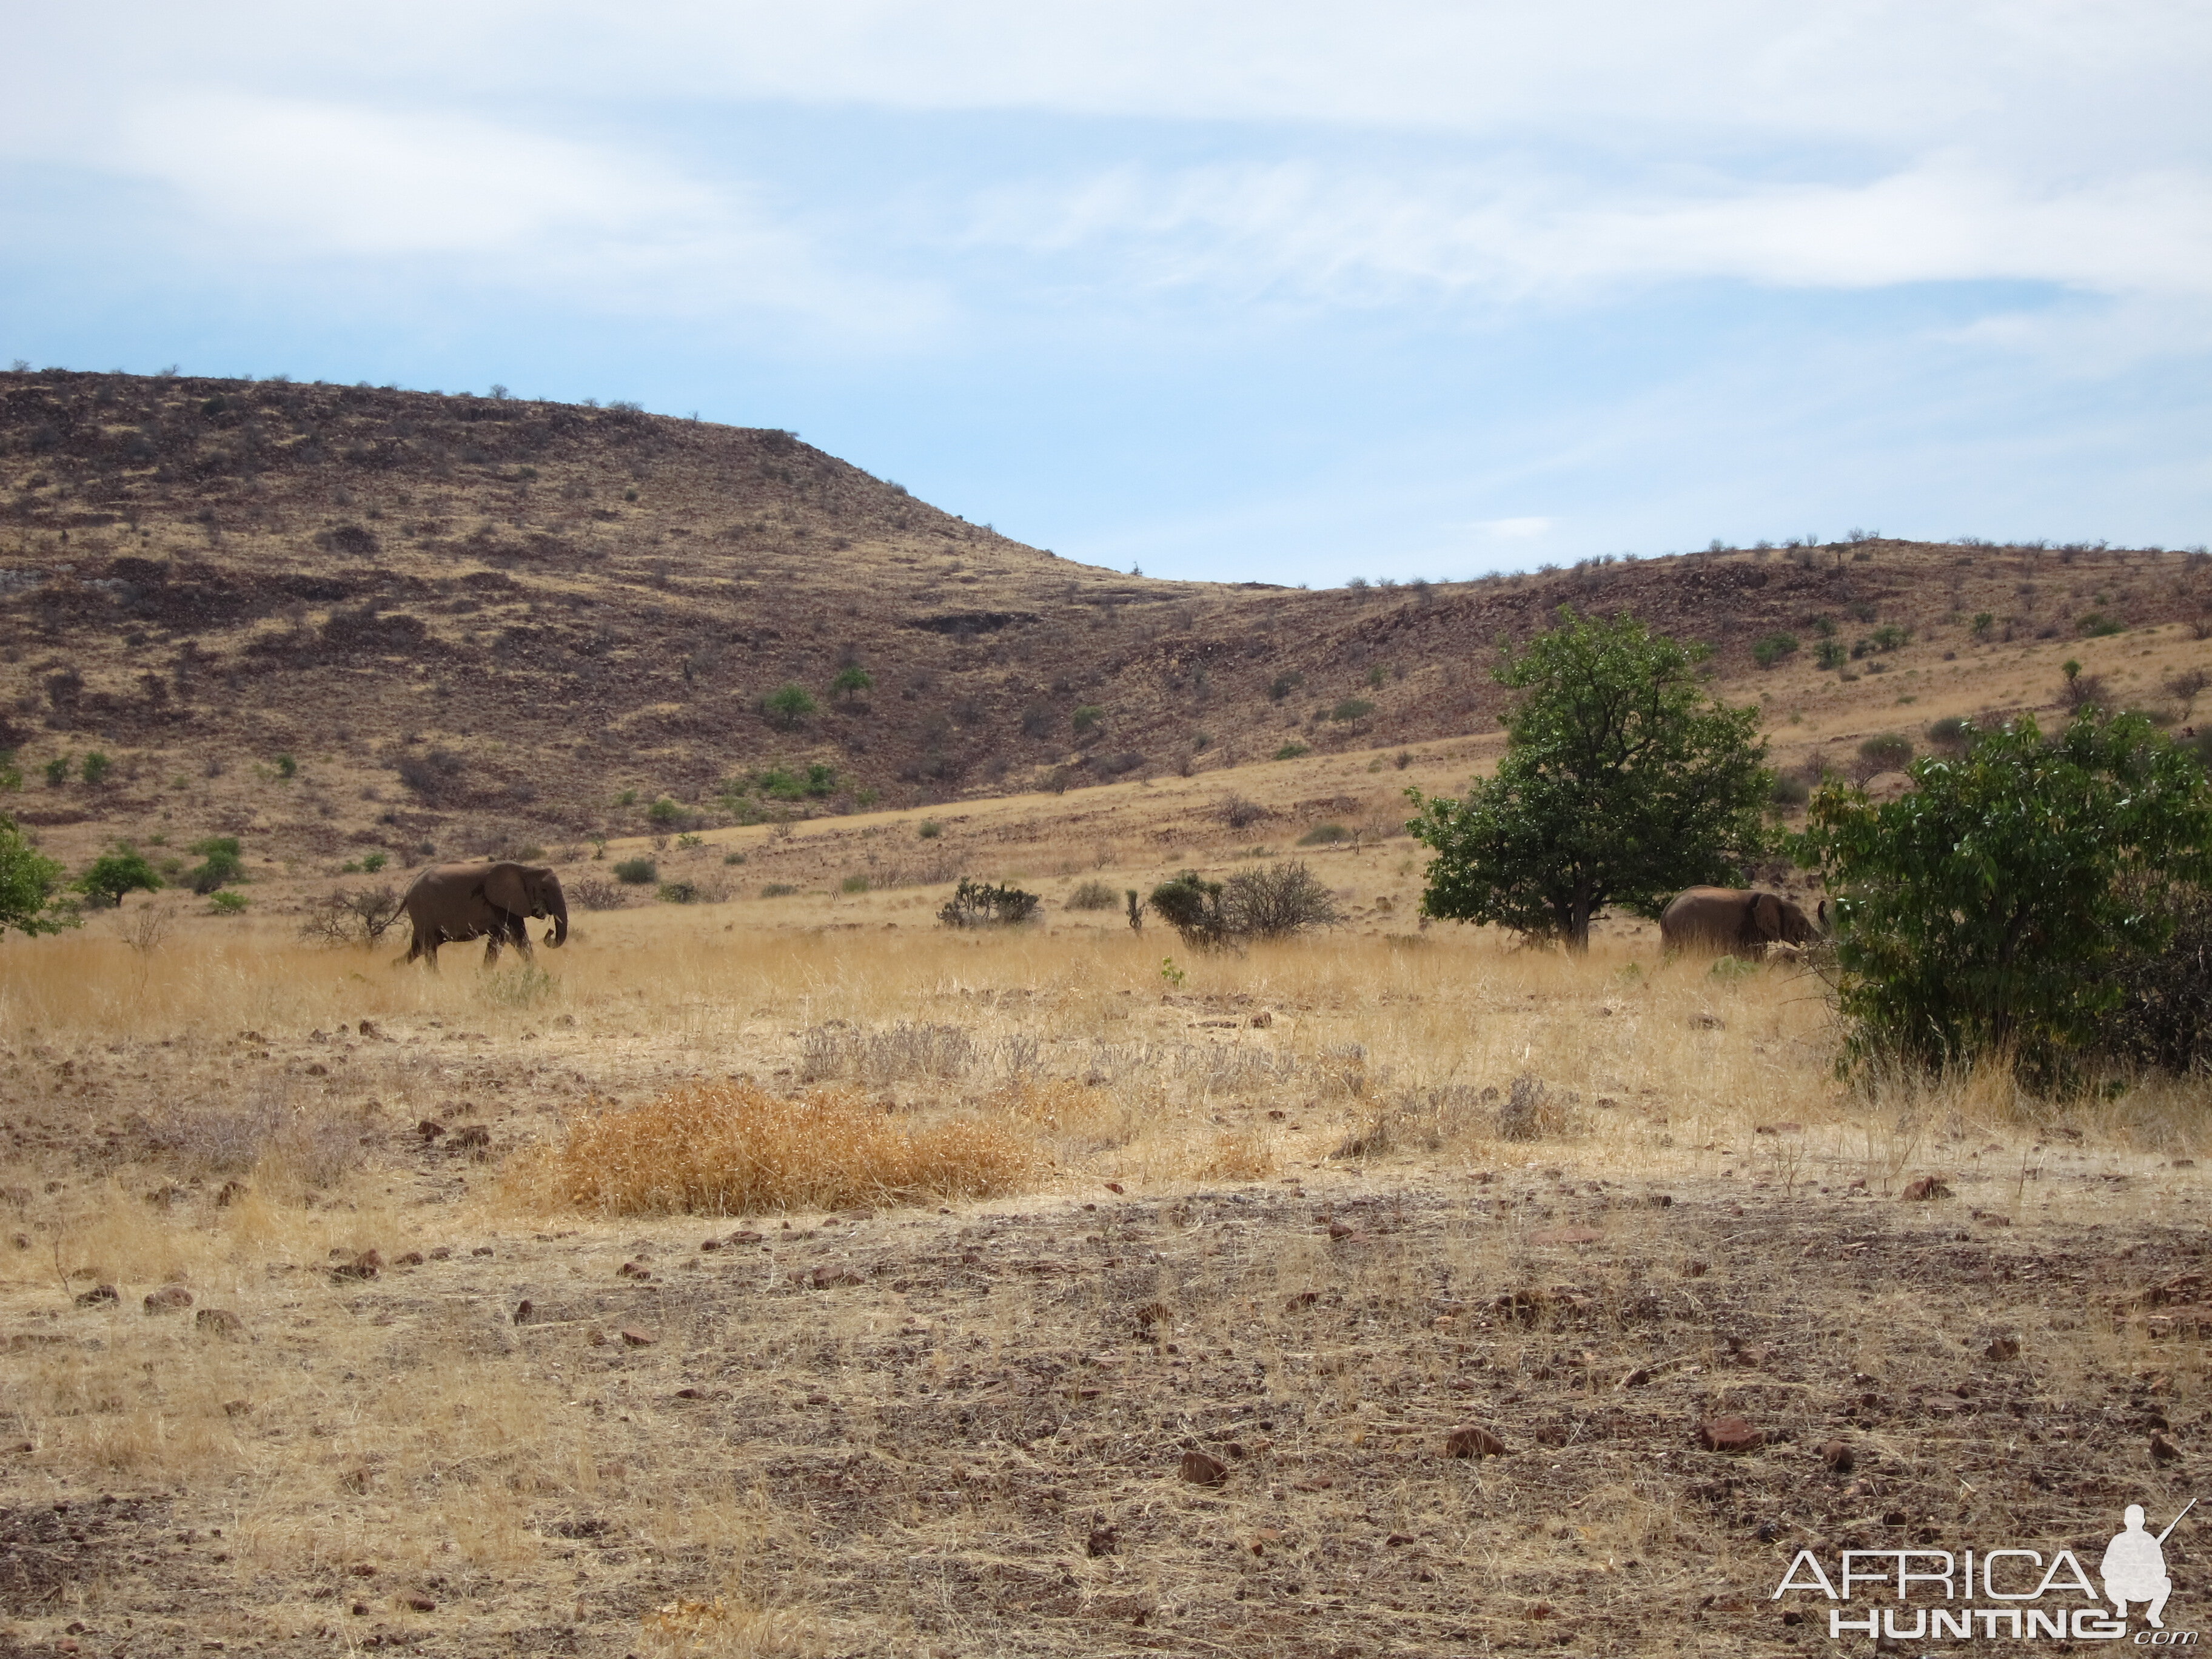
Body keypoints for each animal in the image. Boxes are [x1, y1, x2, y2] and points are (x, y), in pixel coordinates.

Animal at [400, 862, 566, 968]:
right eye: (544, 890)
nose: (550, 932)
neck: (526, 869)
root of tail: (409, 891)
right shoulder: (501, 903)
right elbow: (515, 937)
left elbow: (502, 939)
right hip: (423, 910)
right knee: (428, 948)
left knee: (418, 948)